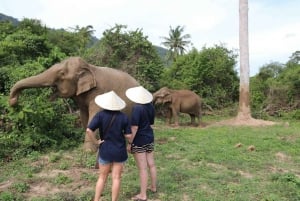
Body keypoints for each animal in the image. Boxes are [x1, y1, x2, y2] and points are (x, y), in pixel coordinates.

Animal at [9, 56, 139, 151]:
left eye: (61, 74)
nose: (13, 102)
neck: (90, 68)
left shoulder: (99, 92)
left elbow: (94, 116)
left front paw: (88, 151)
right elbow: (84, 115)